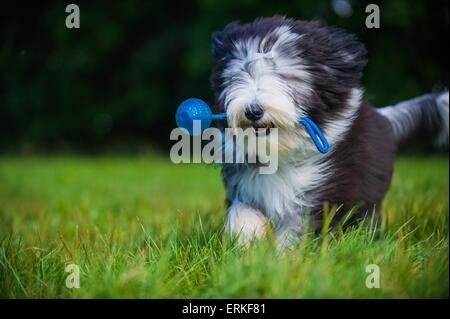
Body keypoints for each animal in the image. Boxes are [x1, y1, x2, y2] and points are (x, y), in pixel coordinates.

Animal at [209, 16, 448, 249]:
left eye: (287, 77)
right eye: (237, 76)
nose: (253, 111)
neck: (280, 153)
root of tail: (383, 117)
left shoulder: (316, 194)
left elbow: (295, 231)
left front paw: (282, 258)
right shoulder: (243, 184)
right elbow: (240, 209)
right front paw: (247, 240)